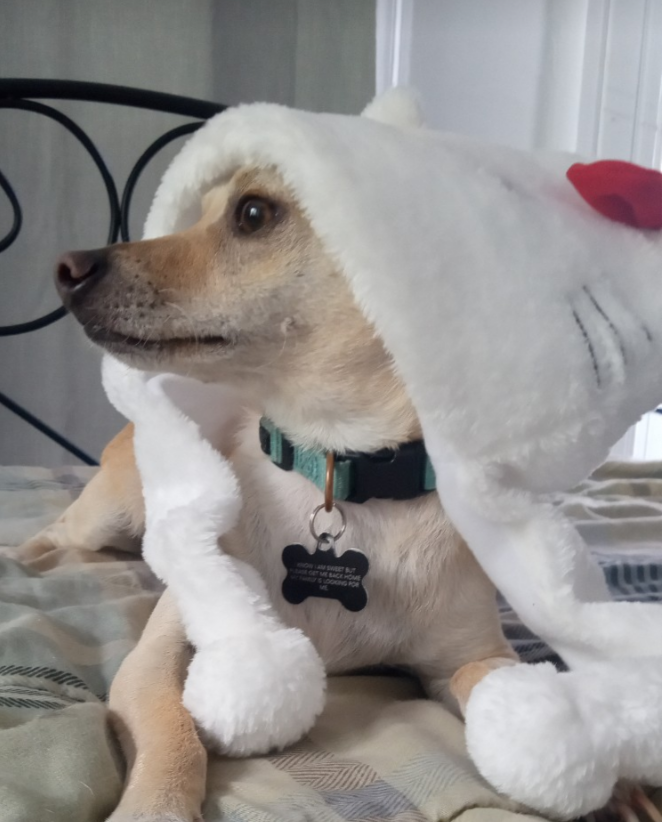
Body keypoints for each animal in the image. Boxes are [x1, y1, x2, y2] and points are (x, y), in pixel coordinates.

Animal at [19, 166, 520, 822]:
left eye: (253, 214)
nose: (66, 266)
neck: (338, 469)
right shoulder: (153, 658)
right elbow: (174, 733)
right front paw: (156, 805)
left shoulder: (474, 657)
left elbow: (502, 697)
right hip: (109, 512)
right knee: (60, 531)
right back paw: (24, 559)